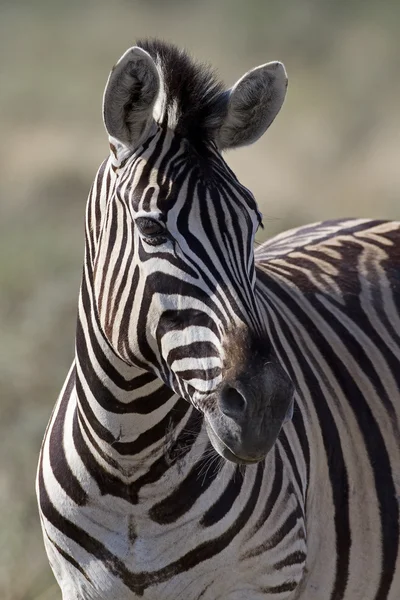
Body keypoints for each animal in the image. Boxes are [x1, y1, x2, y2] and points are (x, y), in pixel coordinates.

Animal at [37, 39, 400, 596]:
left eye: (254, 227)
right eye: (151, 230)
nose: (265, 407)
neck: (129, 465)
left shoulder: (262, 578)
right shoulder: (80, 585)